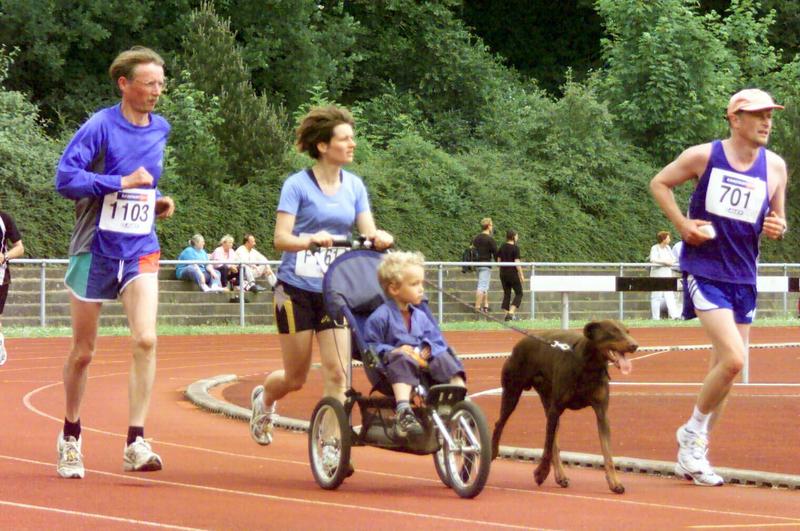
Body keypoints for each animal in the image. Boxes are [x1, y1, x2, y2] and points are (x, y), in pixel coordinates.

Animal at [490, 320, 636, 494]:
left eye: (627, 331)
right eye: (613, 332)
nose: (635, 345)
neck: (589, 365)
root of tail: (517, 345)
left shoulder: (602, 413)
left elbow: (607, 452)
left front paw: (614, 482)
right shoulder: (556, 408)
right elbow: (547, 448)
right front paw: (541, 473)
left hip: (548, 403)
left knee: (553, 441)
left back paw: (560, 476)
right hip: (512, 393)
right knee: (500, 423)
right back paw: (493, 451)